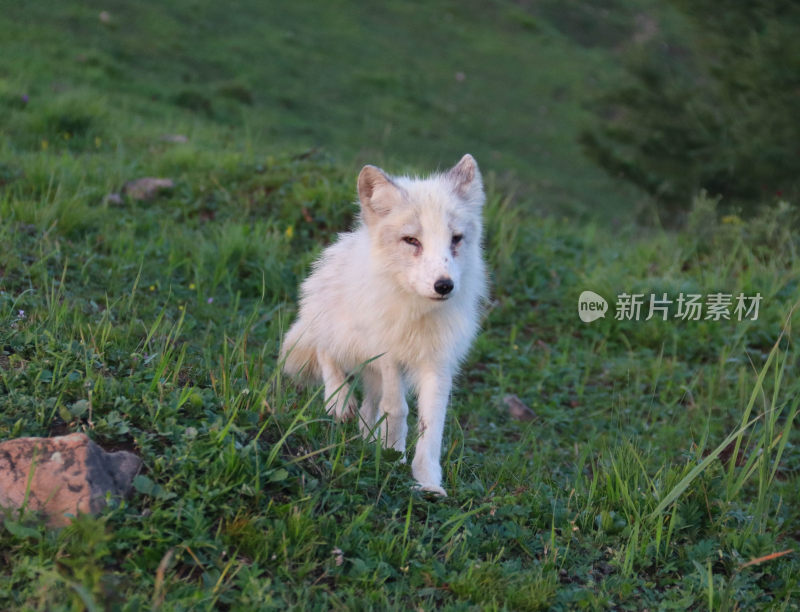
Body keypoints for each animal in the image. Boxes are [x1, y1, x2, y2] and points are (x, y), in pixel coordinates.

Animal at [282, 155, 488, 494]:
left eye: (456, 240)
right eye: (412, 240)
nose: (444, 285)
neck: (417, 314)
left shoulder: (437, 362)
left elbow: (432, 425)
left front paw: (428, 483)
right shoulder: (389, 355)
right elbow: (398, 409)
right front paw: (394, 454)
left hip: (372, 369)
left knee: (369, 407)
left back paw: (367, 441)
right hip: (342, 335)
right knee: (325, 351)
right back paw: (339, 402)